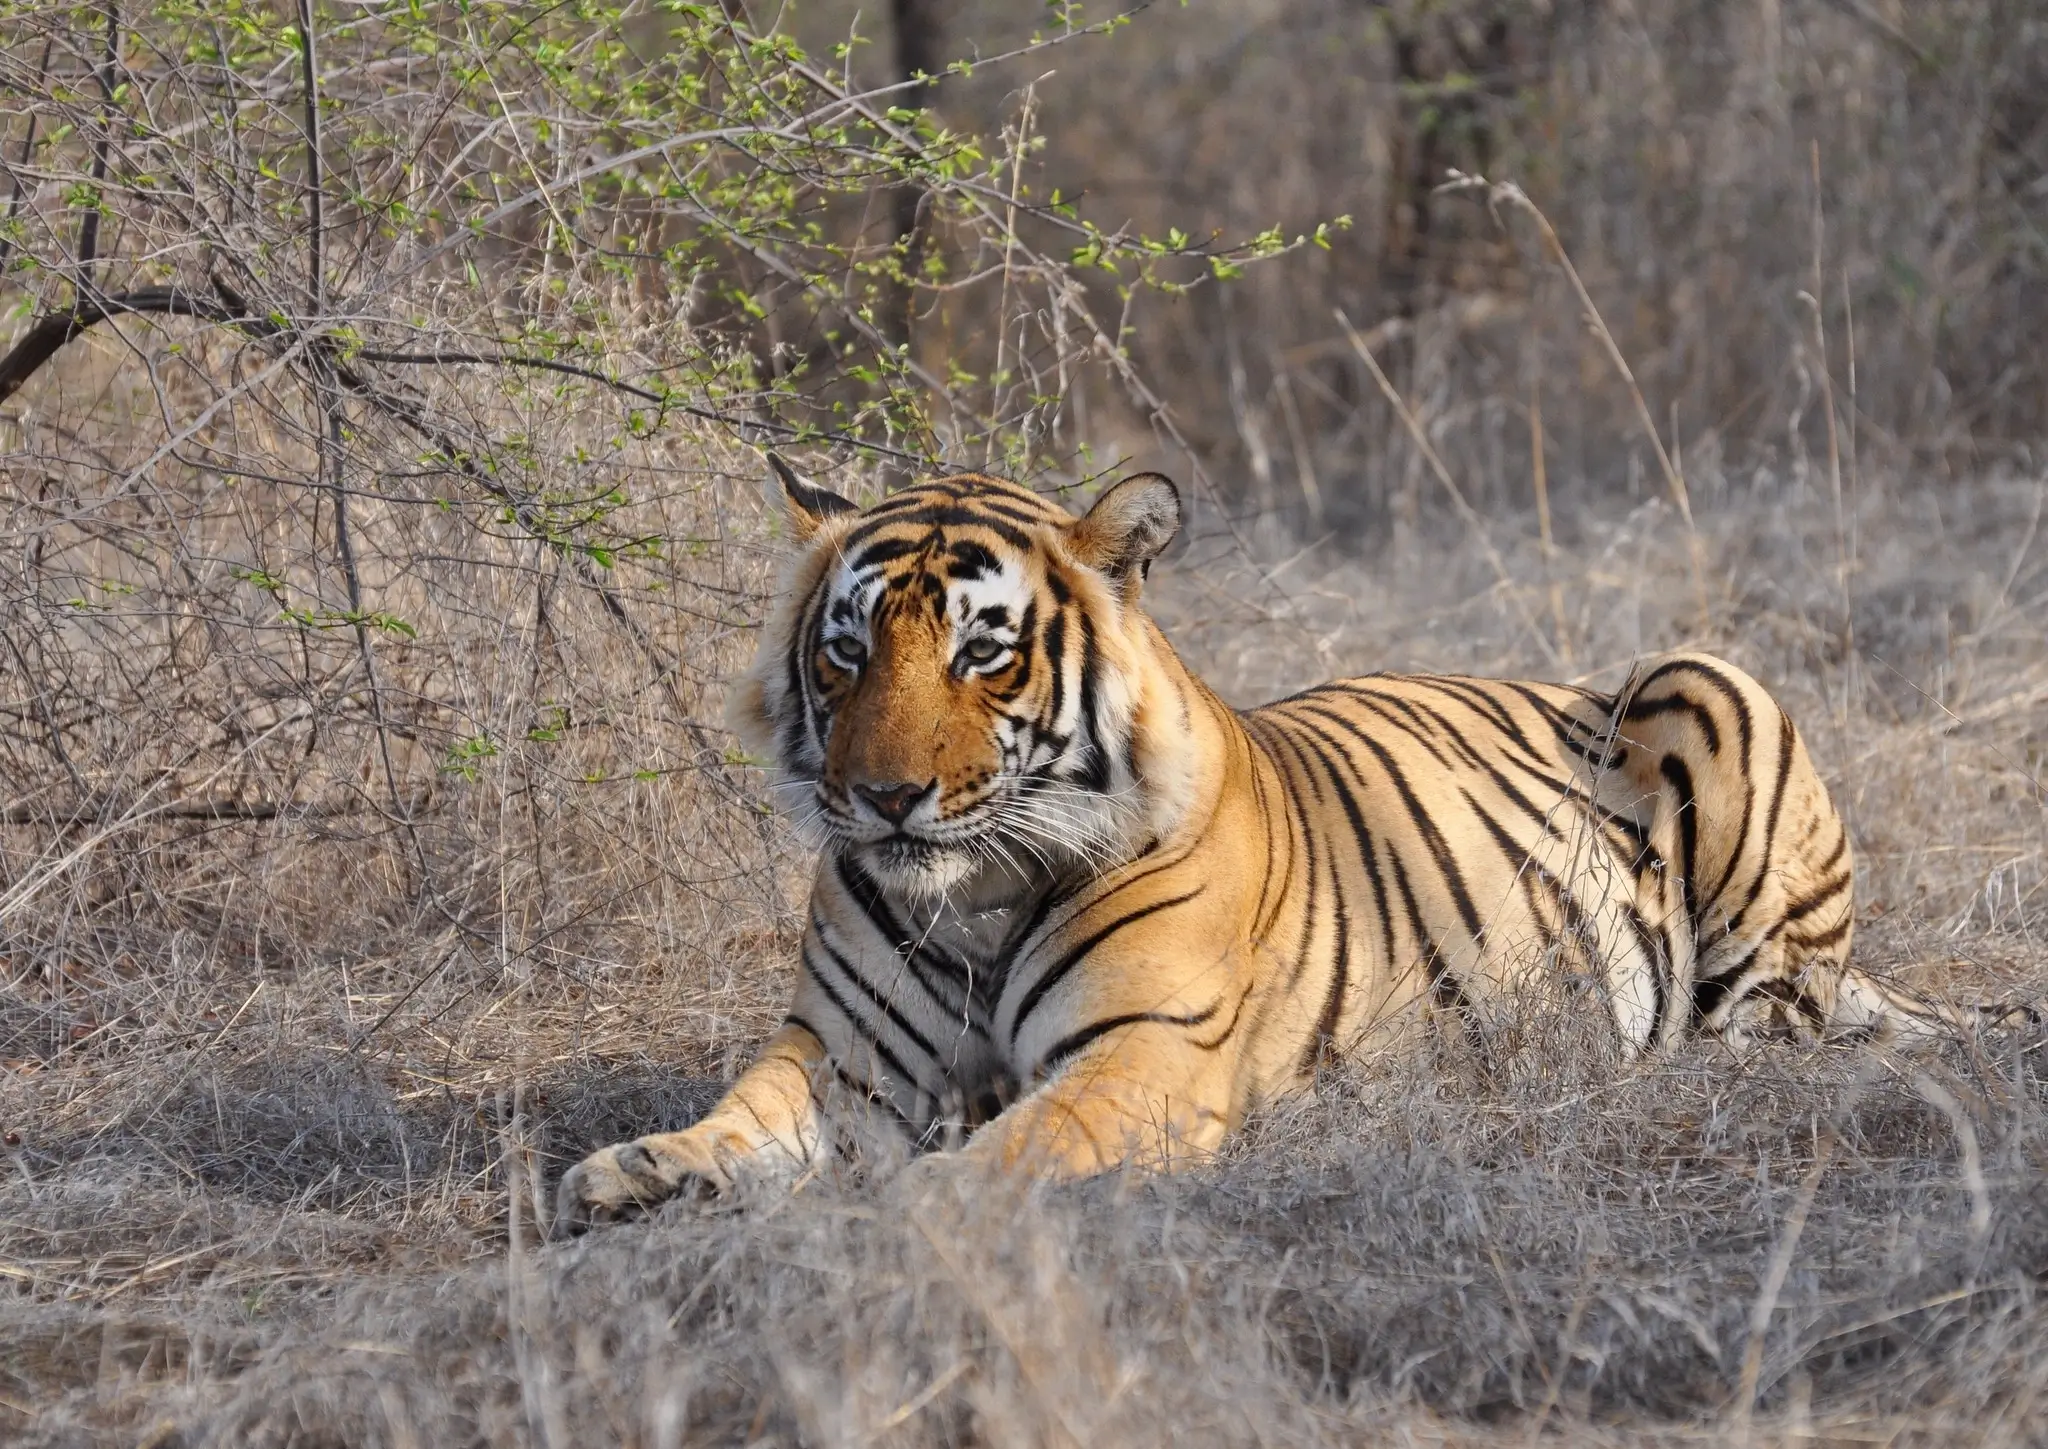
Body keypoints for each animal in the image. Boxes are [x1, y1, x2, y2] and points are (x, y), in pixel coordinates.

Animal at [554, 460, 2033, 1232]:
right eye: (848, 649)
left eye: (983, 651)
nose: (883, 797)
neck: (970, 893)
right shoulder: (845, 1059)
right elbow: (744, 1112)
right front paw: (636, 1168)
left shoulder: (1141, 1064)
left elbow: (997, 1158)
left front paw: (898, 1208)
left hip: (1708, 682)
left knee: (1759, 1028)